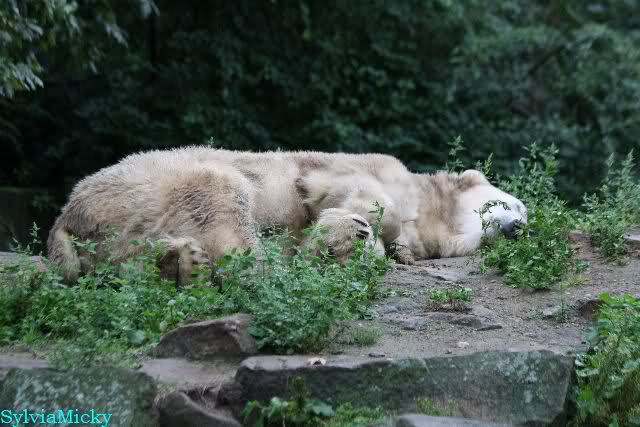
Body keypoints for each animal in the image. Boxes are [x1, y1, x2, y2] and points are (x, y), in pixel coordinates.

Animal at [47, 147, 527, 283]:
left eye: (526, 213)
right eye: (516, 203)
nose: (520, 227)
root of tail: (68, 211)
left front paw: (364, 247)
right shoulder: (363, 167)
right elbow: (350, 195)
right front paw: (346, 231)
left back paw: (177, 261)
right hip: (163, 178)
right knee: (223, 198)